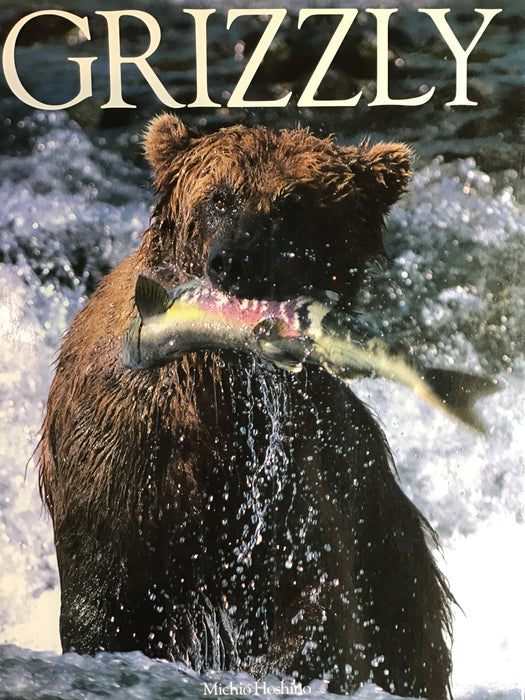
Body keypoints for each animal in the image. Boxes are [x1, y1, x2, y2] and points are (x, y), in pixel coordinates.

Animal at [38, 114, 453, 698]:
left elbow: (317, 606)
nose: (234, 262)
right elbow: (102, 592)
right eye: (219, 196)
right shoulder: (123, 445)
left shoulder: (303, 473)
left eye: (293, 205)